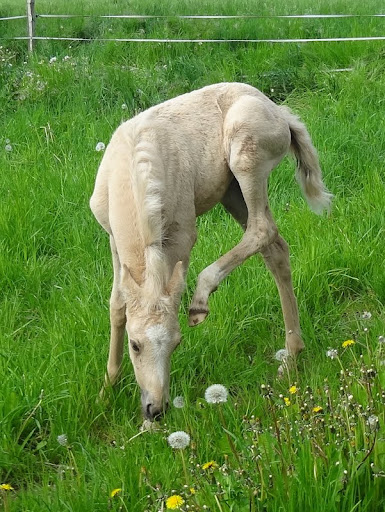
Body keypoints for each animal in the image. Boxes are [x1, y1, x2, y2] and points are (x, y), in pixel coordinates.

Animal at [89, 82, 330, 418]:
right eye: (134, 345)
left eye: (176, 343)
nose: (155, 409)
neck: (133, 170)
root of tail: (279, 112)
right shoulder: (112, 237)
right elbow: (117, 305)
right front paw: (106, 390)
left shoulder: (181, 234)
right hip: (231, 192)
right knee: (276, 248)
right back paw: (293, 357)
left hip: (246, 161)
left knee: (262, 229)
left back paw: (202, 300)